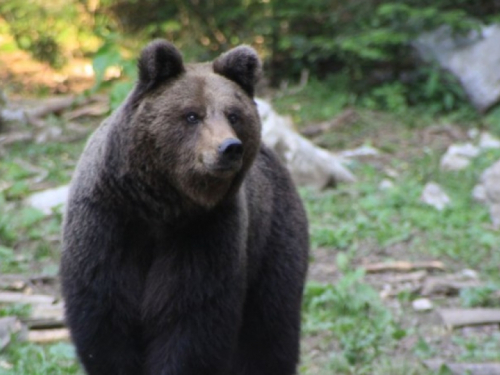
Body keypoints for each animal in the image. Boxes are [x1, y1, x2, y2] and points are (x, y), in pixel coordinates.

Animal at [59, 41, 308, 375]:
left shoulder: (206, 234)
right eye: (192, 115)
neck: (161, 206)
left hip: (272, 240)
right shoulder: (106, 225)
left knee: (269, 328)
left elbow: (190, 320)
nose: (229, 148)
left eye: (233, 114)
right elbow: (106, 323)